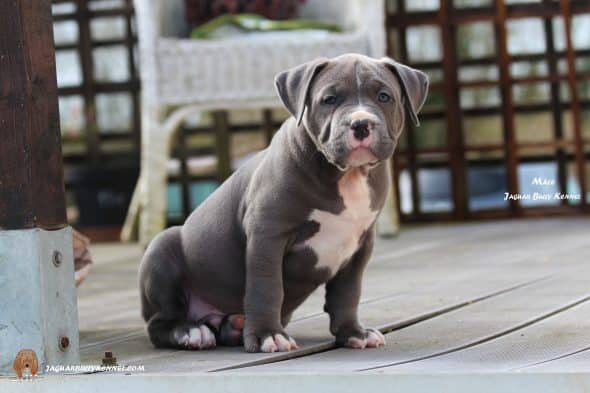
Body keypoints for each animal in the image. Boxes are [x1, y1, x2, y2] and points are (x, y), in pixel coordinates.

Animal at [141, 52, 428, 352]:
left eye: (384, 97)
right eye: (329, 99)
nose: (361, 123)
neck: (347, 175)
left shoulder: (360, 245)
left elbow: (348, 292)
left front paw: (353, 333)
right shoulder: (268, 234)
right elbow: (267, 287)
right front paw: (268, 334)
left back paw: (234, 326)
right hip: (161, 251)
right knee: (160, 322)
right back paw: (191, 331)